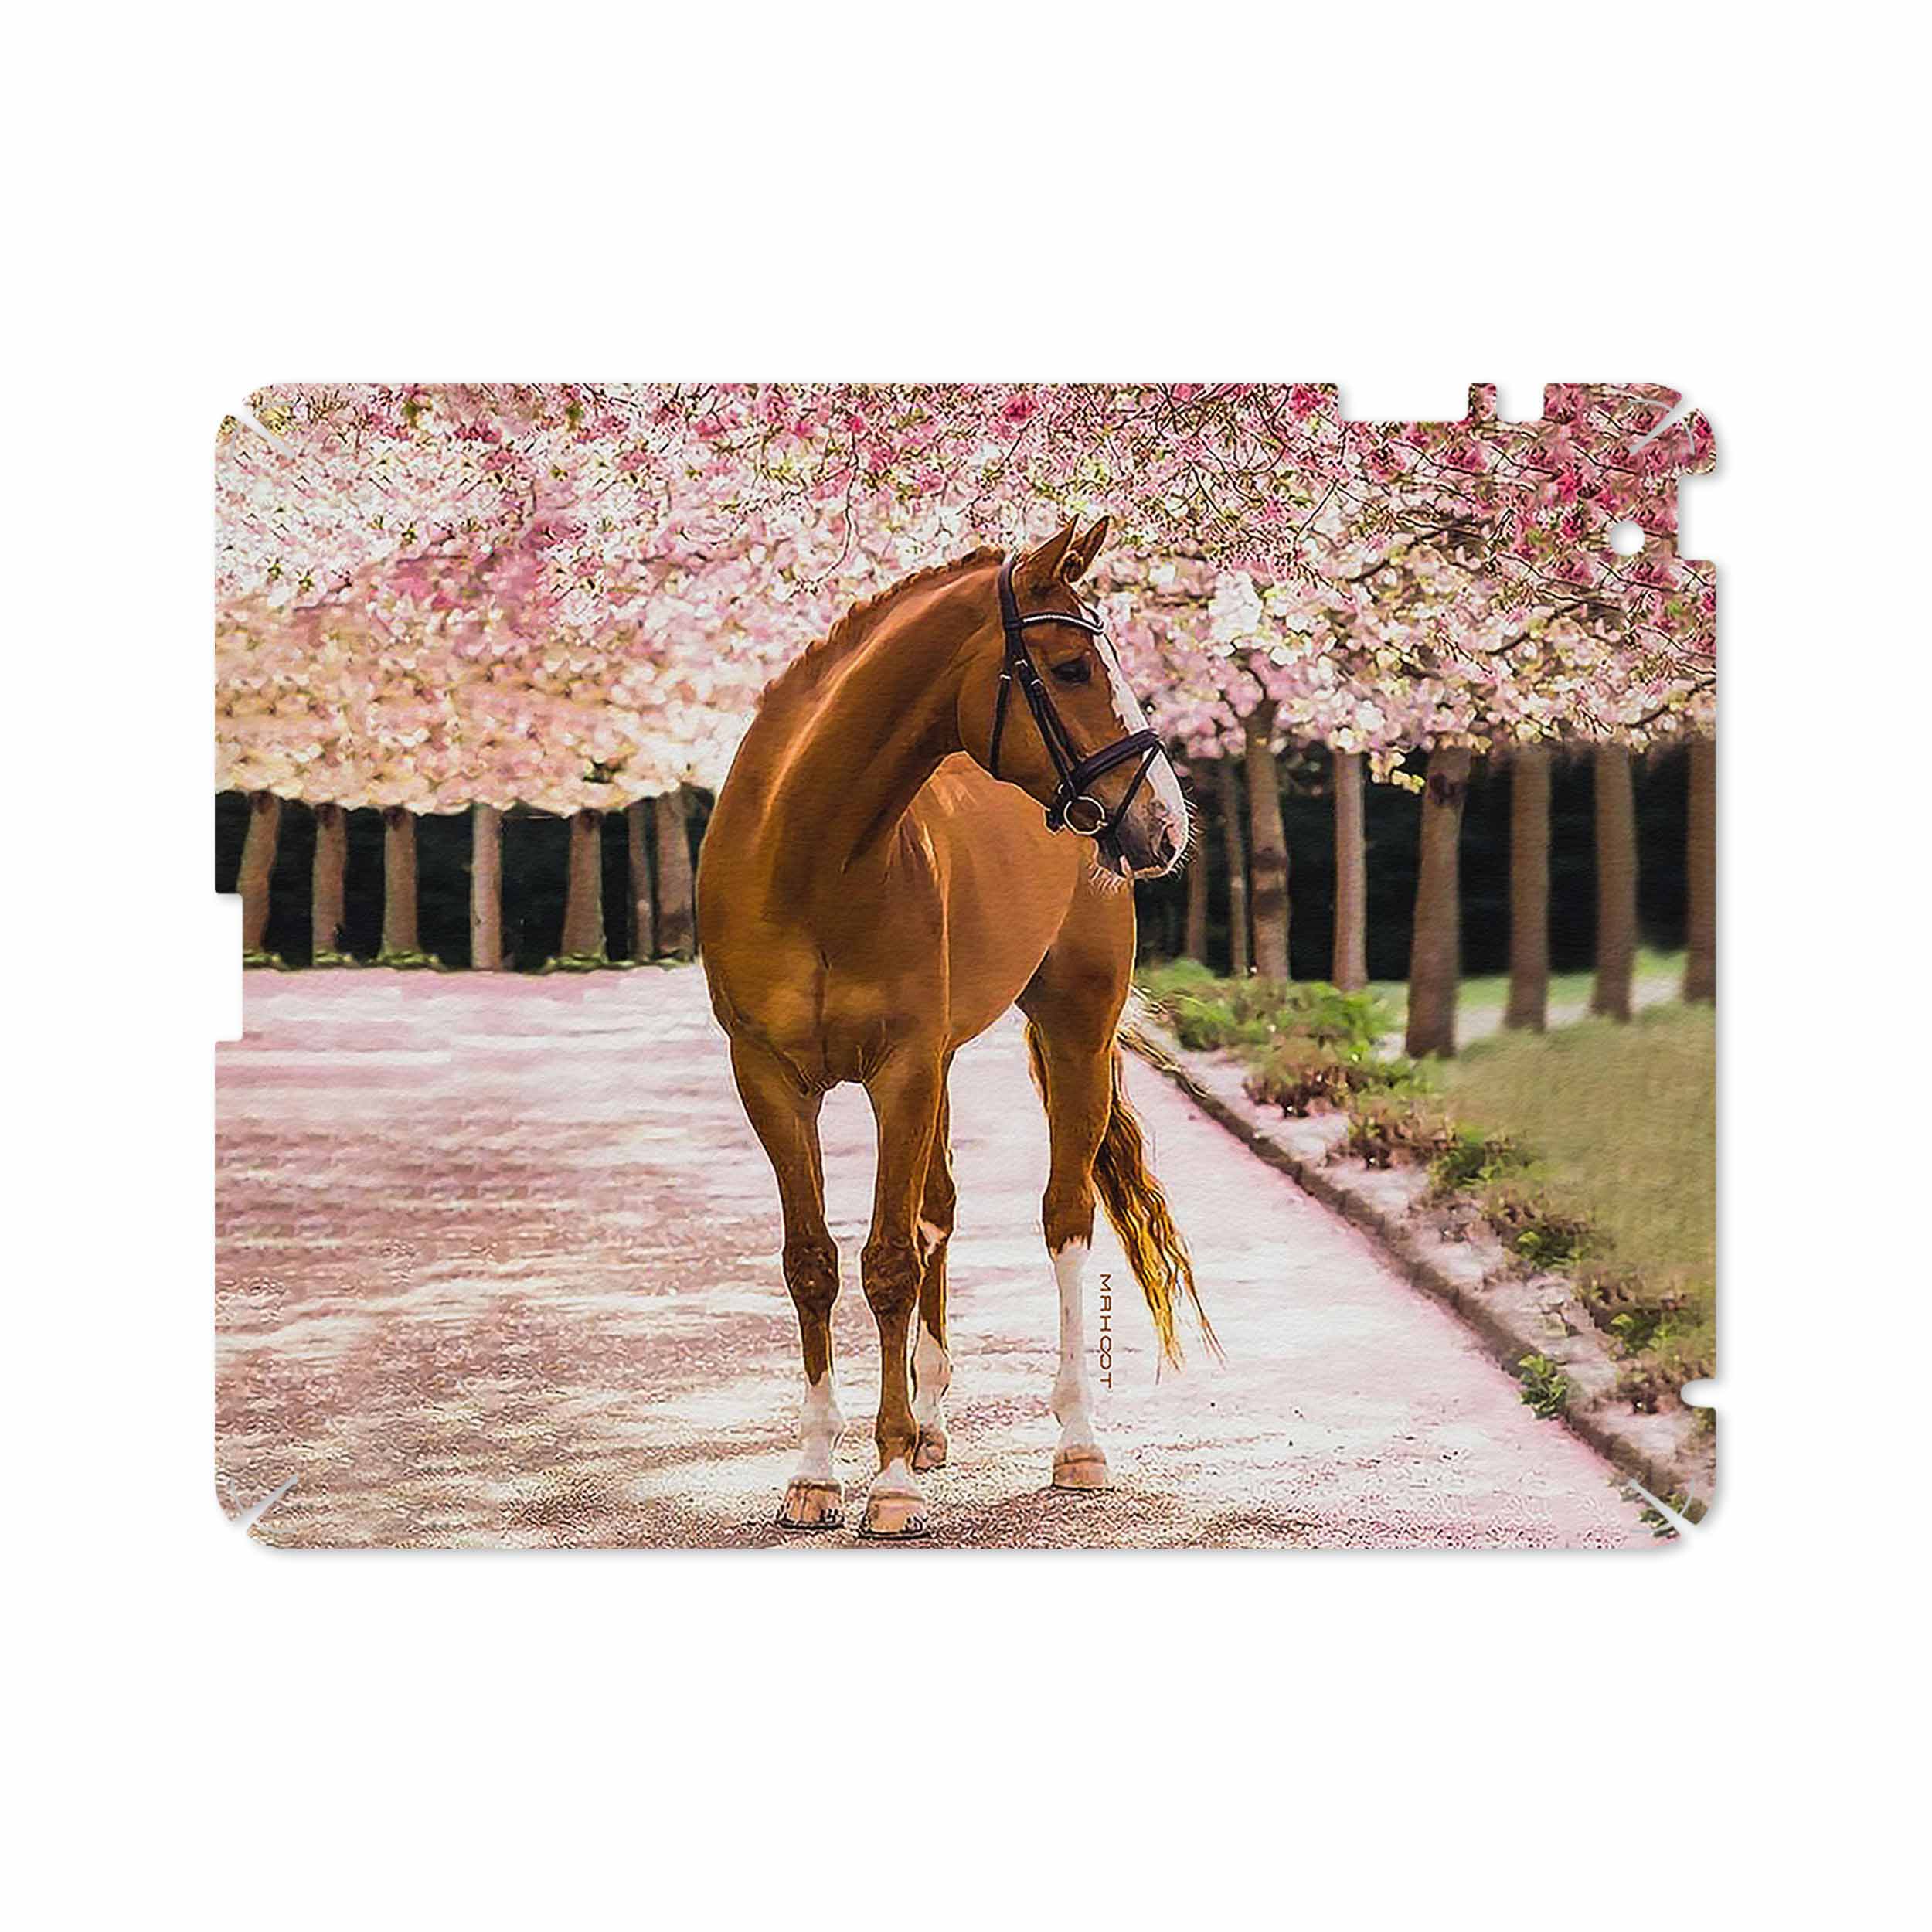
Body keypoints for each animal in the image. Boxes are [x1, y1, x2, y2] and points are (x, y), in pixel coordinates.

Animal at [697, 516, 1214, 1537]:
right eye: (1069, 667)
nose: (1165, 824)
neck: (809, 857)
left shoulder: (899, 1070)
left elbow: (889, 1261)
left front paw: (889, 1480)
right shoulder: (770, 1079)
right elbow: (813, 1262)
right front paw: (817, 1472)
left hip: (1072, 1032)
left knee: (1062, 1218)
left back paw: (1074, 1441)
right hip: (938, 1064)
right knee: (938, 1208)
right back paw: (932, 1423)